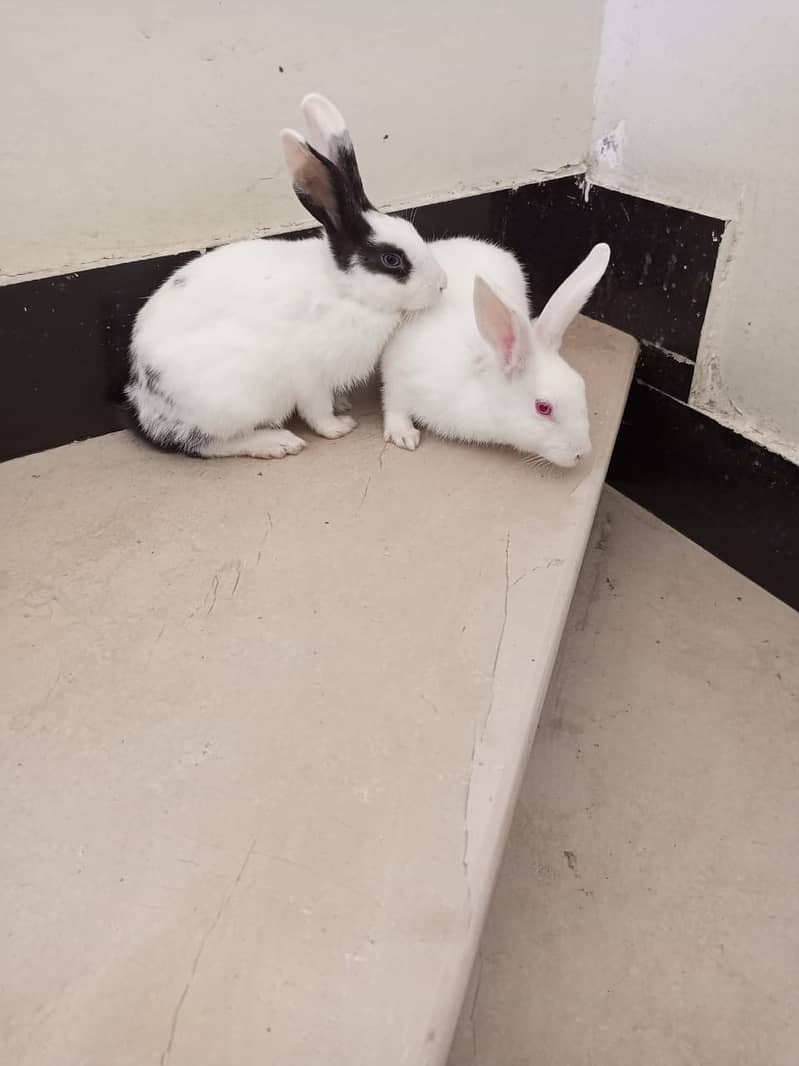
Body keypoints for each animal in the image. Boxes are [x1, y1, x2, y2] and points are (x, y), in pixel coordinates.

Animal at [125, 93, 447, 459]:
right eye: (392, 260)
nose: (442, 284)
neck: (345, 291)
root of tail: (145, 408)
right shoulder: (310, 376)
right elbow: (317, 411)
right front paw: (339, 427)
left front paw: (344, 404)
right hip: (235, 398)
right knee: (207, 444)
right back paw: (278, 443)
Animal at [380, 239, 610, 468]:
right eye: (543, 407)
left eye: (581, 385)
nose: (582, 453)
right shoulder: (399, 377)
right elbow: (394, 404)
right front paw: (404, 435)